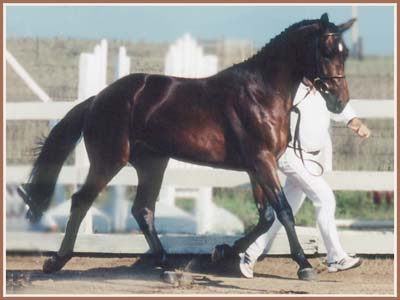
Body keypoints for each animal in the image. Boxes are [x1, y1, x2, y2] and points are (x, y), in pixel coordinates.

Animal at [20, 13, 354, 282]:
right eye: (326, 51)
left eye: (346, 52)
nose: (339, 102)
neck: (261, 93)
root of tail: (98, 98)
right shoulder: (262, 161)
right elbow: (283, 211)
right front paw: (303, 265)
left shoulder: (257, 166)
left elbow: (265, 217)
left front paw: (222, 252)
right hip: (109, 160)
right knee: (82, 201)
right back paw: (56, 261)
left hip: (153, 163)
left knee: (143, 210)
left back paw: (166, 265)